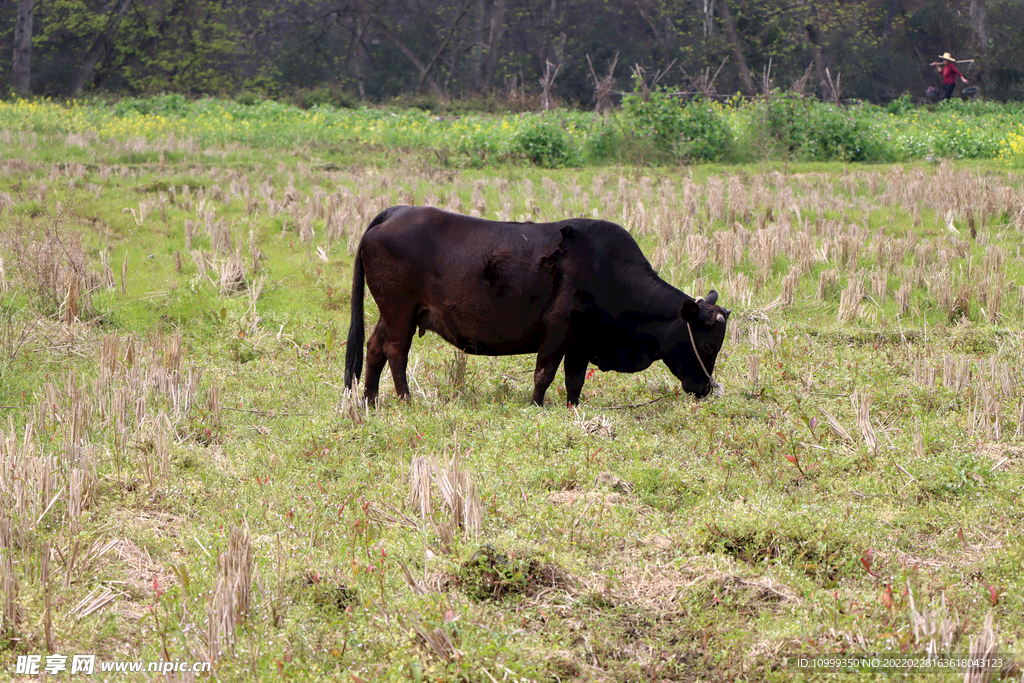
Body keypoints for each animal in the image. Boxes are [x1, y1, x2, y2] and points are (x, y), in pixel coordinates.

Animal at [348, 204, 733, 405]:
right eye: (707, 345)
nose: (705, 389)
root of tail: (394, 213)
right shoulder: (558, 328)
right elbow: (544, 373)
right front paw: (536, 405)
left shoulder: (582, 340)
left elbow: (574, 380)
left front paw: (573, 407)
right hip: (400, 311)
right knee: (395, 351)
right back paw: (405, 399)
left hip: (394, 313)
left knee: (374, 348)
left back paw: (370, 399)